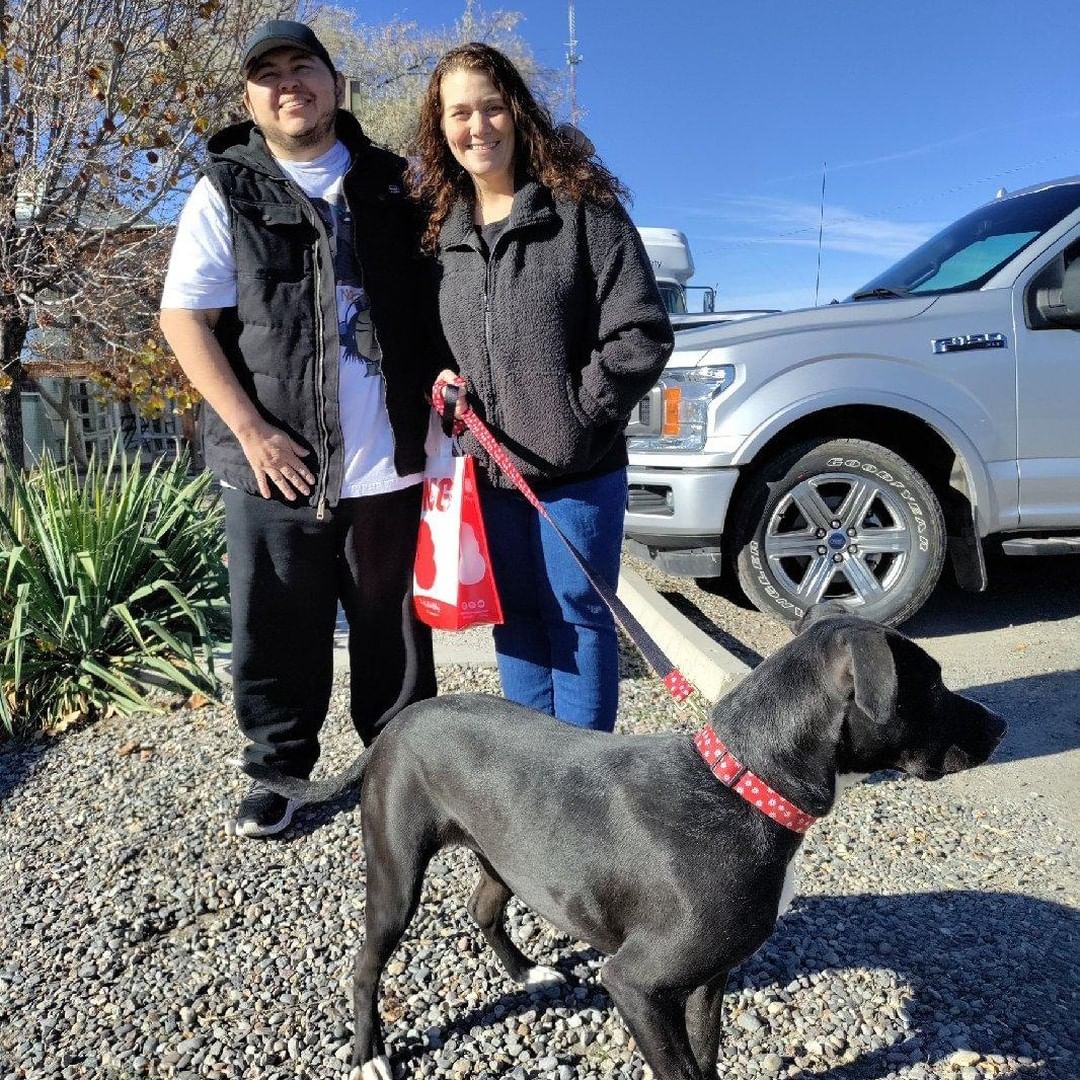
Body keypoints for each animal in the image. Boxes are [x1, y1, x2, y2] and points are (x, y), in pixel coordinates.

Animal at [245, 604, 1002, 1075]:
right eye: (932, 684)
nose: (998, 727)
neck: (742, 786)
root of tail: (397, 723)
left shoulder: (707, 981)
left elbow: (706, 1059)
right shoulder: (637, 983)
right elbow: (680, 1070)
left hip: (505, 856)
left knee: (483, 910)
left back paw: (528, 973)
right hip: (397, 872)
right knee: (366, 962)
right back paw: (369, 1051)